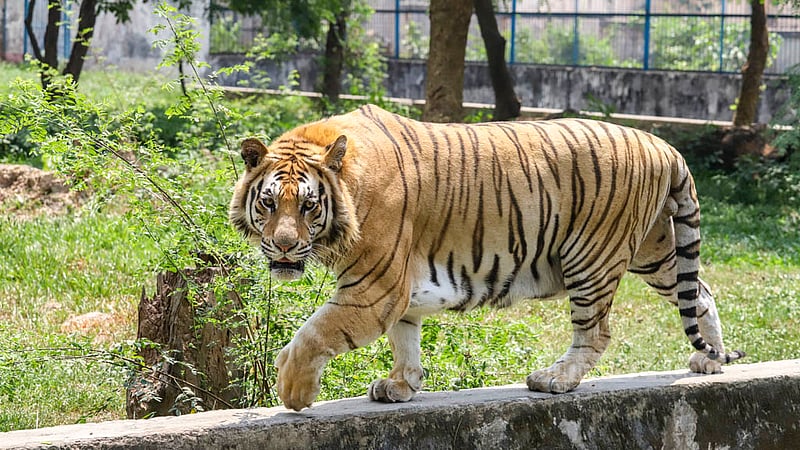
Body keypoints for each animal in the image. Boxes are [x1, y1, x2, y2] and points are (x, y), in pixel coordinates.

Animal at [229, 104, 744, 411]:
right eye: (269, 203)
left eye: (308, 206)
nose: (284, 246)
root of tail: (664, 144)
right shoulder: (397, 290)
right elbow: (405, 338)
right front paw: (401, 385)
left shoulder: (373, 288)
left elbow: (314, 333)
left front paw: (294, 391)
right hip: (656, 251)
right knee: (699, 292)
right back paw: (711, 361)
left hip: (592, 256)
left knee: (596, 331)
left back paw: (555, 378)